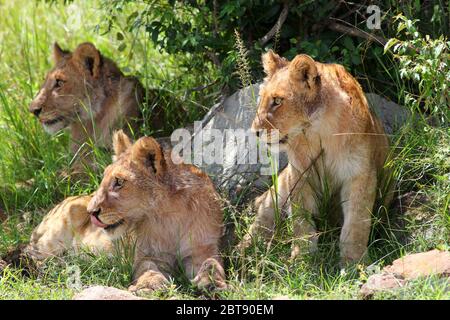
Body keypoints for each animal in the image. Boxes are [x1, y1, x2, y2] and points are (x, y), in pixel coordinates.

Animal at [241, 51, 392, 264]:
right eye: (261, 99)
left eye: (277, 101)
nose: (254, 131)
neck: (316, 131)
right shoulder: (299, 173)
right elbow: (301, 220)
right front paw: (303, 259)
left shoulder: (361, 174)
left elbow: (356, 221)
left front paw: (354, 262)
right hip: (279, 188)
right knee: (261, 220)